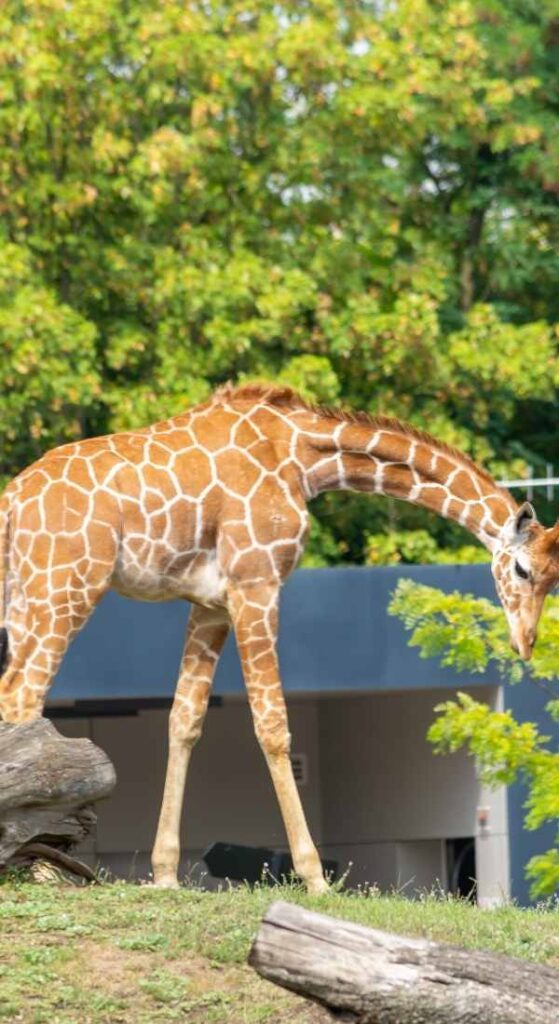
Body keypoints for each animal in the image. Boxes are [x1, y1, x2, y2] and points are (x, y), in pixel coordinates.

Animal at [1, 385, 556, 888]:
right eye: (523, 569)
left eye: (555, 579)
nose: (526, 643)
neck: (302, 455)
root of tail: (11, 503)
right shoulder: (256, 582)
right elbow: (273, 726)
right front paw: (314, 877)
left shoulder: (210, 605)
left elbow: (184, 721)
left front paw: (164, 874)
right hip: (66, 585)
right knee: (23, 694)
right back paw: (38, 868)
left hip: (26, 595)